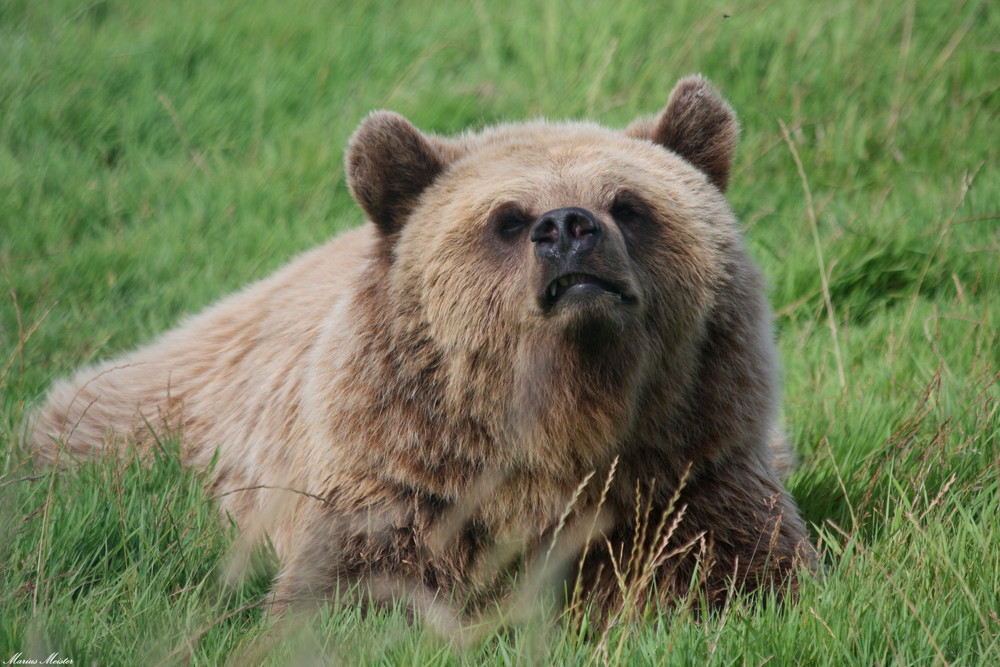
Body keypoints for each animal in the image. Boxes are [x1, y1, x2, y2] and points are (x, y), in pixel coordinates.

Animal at [29, 75, 812, 624]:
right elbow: (351, 593)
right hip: (157, 420)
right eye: (507, 219)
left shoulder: (689, 471)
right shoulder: (405, 484)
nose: (568, 227)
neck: (561, 424)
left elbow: (741, 569)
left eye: (628, 203)